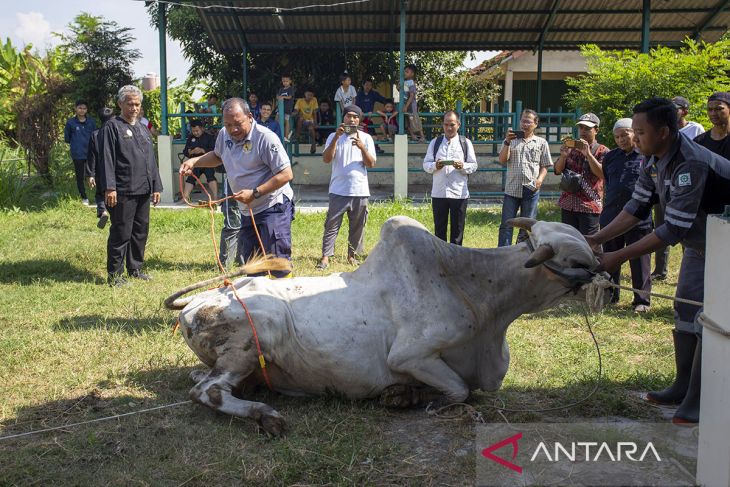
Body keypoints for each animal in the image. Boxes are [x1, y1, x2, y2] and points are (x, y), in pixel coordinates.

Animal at [165, 217, 608, 434]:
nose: (604, 274)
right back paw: (265, 416)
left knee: (200, 379)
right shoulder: (412, 355)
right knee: (205, 392)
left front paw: (401, 395)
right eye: (577, 260)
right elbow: (460, 391)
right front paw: (419, 399)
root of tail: (196, 303)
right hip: (255, 331)